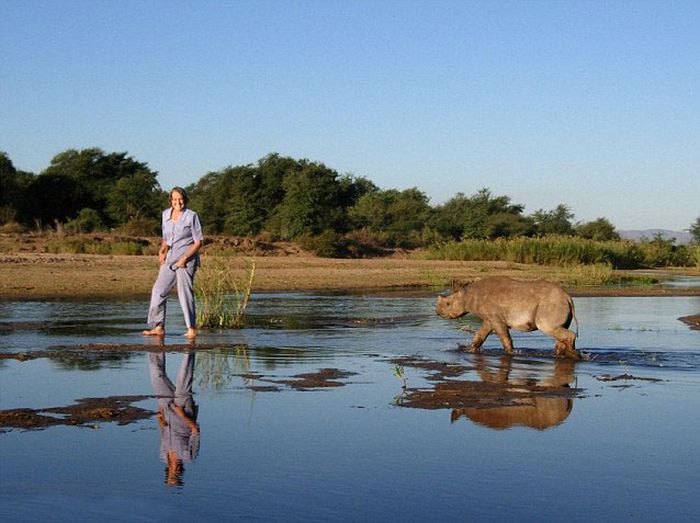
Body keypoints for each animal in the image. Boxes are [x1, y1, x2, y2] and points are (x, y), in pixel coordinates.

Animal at [438, 278, 580, 360]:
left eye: (448, 304)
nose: (437, 312)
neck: (469, 295)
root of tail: (568, 297)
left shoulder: (496, 319)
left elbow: (504, 338)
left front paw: (510, 353)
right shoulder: (489, 319)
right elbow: (479, 336)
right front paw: (468, 350)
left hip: (551, 304)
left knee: (546, 326)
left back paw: (573, 356)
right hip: (557, 303)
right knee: (559, 331)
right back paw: (561, 355)